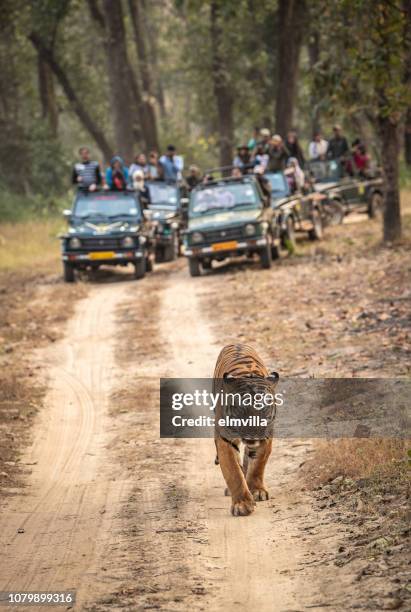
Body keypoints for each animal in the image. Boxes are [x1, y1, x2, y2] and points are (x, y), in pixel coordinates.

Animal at [212, 344, 280, 516]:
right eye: (242, 410)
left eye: (264, 409)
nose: (253, 434)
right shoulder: (224, 440)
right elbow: (233, 472)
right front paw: (242, 504)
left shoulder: (267, 435)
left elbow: (258, 464)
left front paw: (257, 490)